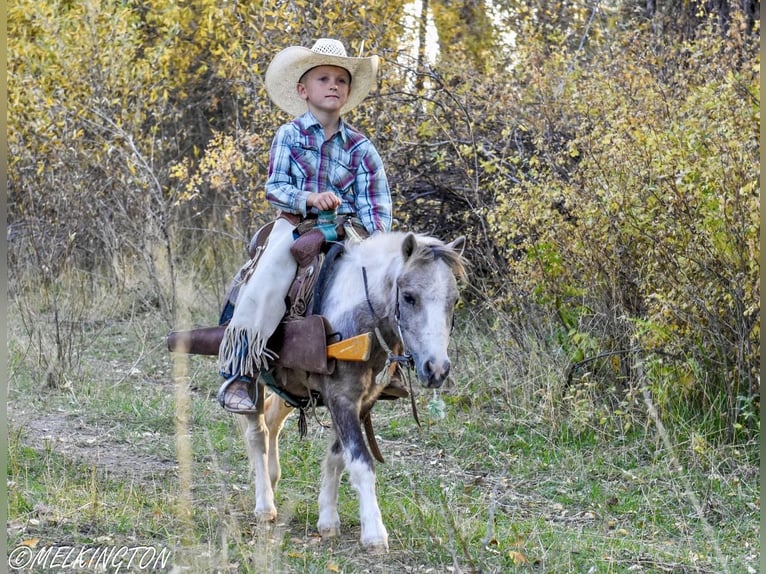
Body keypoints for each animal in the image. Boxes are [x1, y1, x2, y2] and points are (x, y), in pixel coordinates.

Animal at [240, 232, 468, 556]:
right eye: (409, 297)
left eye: (454, 300)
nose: (436, 369)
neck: (359, 325)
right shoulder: (341, 398)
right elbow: (360, 462)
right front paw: (374, 534)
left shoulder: (361, 402)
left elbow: (338, 456)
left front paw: (327, 519)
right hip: (252, 374)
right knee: (257, 433)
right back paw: (264, 504)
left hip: (290, 385)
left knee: (272, 420)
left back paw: (272, 480)